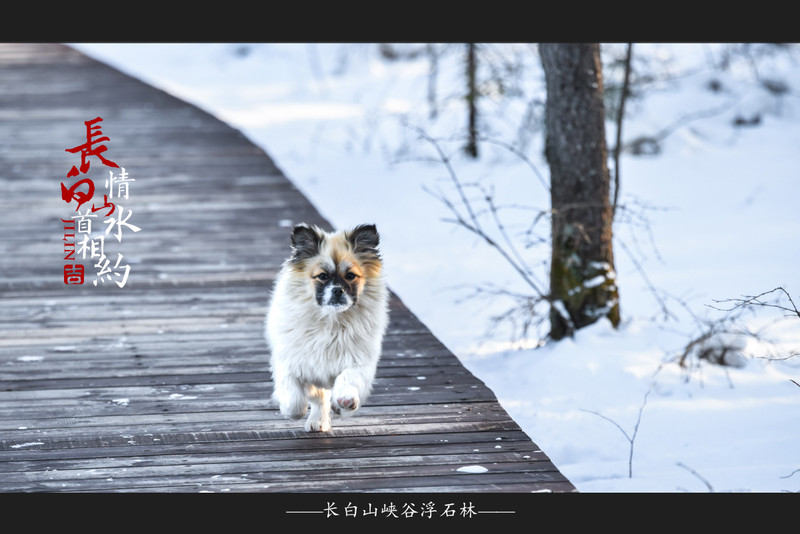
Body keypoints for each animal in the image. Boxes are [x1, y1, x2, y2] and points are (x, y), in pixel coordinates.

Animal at [268, 224, 390, 434]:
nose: (337, 290)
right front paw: (293, 410)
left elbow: (348, 378)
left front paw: (345, 401)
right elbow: (294, 399)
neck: (332, 321)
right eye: (323, 276)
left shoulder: (359, 361)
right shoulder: (291, 363)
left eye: (350, 276)